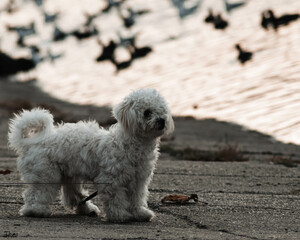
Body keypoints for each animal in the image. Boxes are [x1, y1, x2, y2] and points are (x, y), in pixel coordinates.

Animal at [7, 89, 173, 222]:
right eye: (147, 112)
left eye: (162, 110)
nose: (162, 120)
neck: (131, 145)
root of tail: (31, 142)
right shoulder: (110, 180)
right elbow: (116, 199)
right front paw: (120, 215)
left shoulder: (138, 181)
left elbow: (136, 199)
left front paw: (140, 213)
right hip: (46, 174)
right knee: (36, 193)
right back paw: (36, 210)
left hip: (69, 174)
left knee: (73, 195)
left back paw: (87, 209)